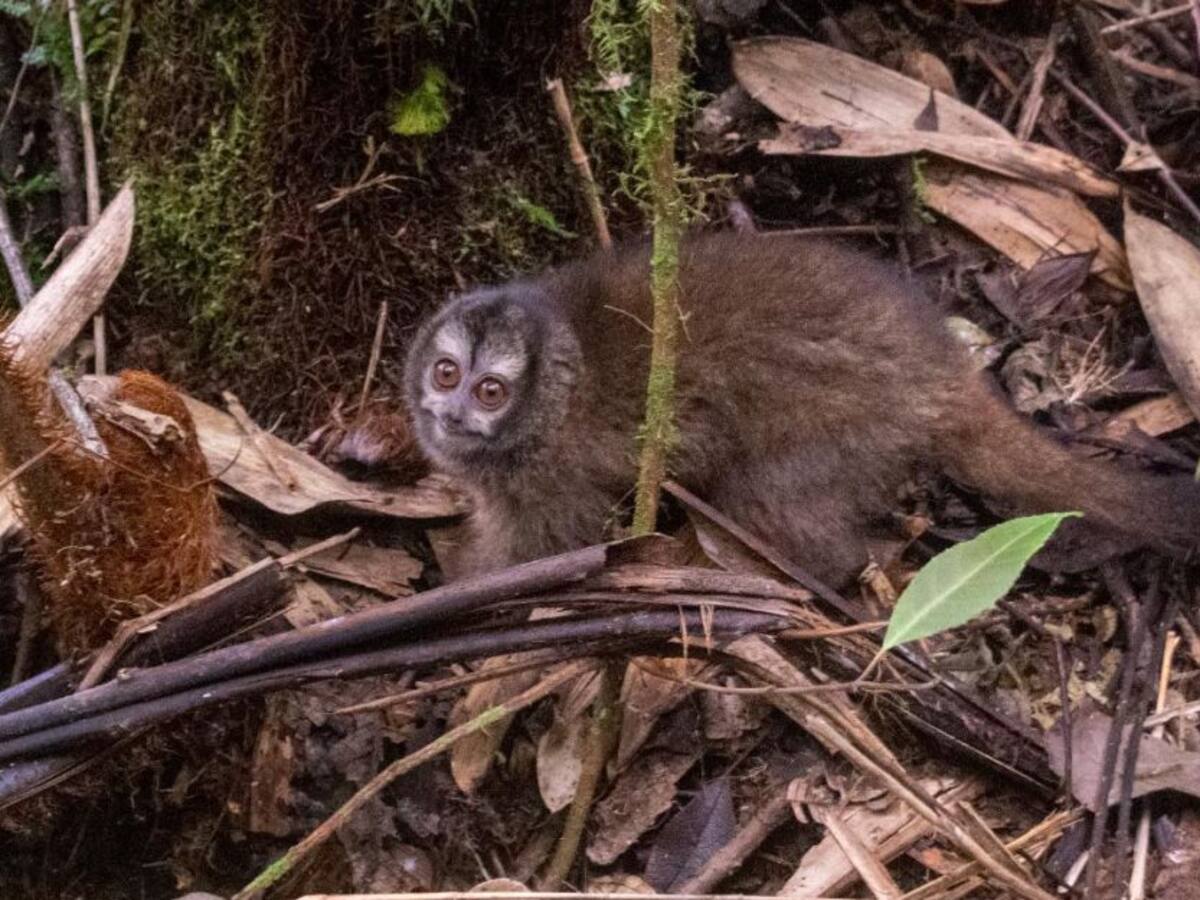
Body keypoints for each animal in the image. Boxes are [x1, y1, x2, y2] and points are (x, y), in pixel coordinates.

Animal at [403, 231, 1200, 584]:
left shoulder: (550, 482)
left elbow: (531, 557)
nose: (452, 412)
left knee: (774, 502)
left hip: (853, 429)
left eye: (491, 391)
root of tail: (938, 371)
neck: (552, 409)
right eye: (447, 373)